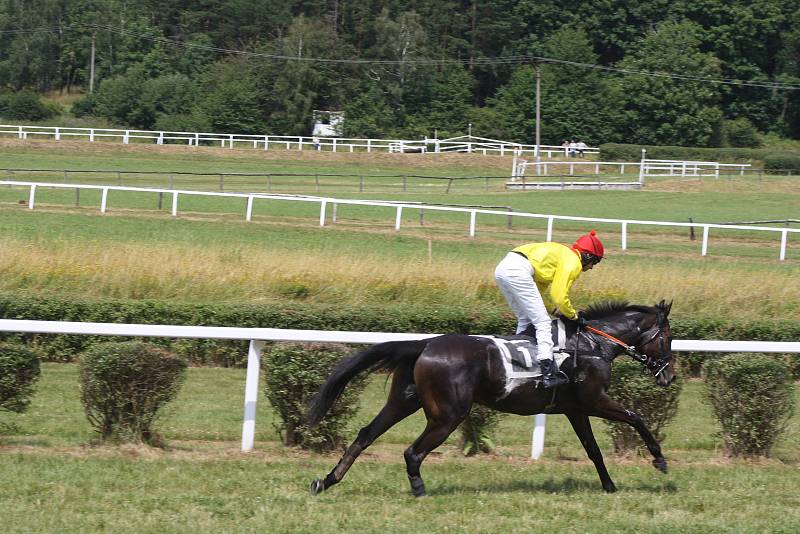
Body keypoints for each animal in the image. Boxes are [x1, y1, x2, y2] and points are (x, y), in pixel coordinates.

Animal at [306, 302, 676, 498]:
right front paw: (659, 460)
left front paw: (609, 485)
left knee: (365, 434)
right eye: (668, 338)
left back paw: (326, 480)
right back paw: (419, 489)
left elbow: (593, 449)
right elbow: (636, 416)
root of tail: (425, 344)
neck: (592, 346)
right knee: (412, 452)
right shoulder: (594, 400)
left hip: (404, 401)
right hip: (448, 414)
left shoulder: (574, 409)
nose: (670, 376)